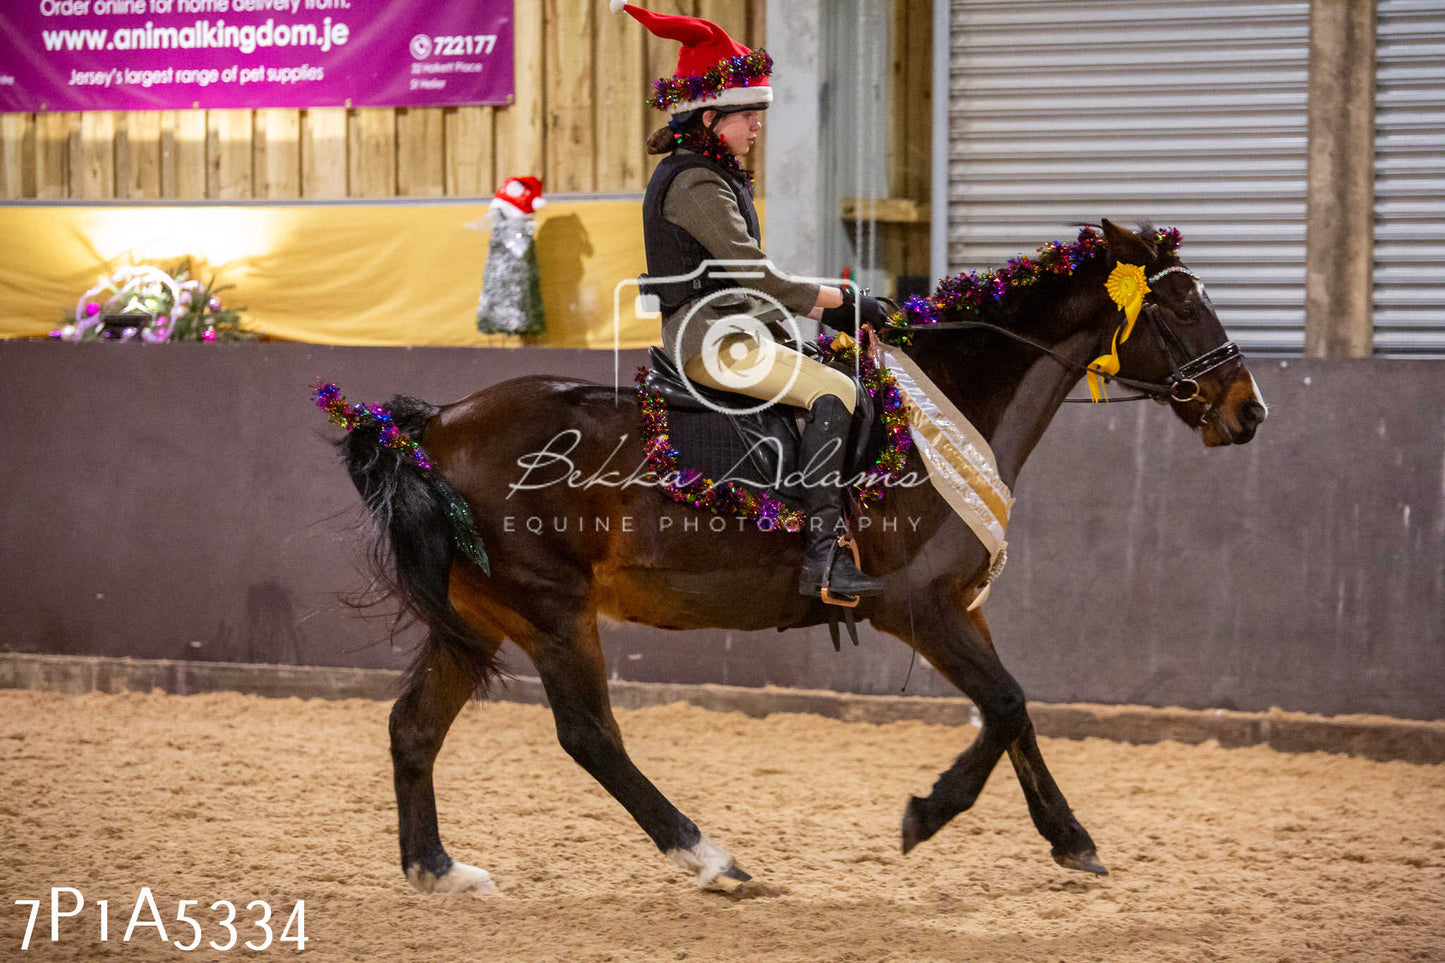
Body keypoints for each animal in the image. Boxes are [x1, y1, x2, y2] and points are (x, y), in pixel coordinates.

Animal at [325, 216, 1265, 890]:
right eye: (1182, 309)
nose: (1248, 410)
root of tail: (434, 427)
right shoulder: (913, 607)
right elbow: (1002, 704)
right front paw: (925, 814)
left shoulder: (960, 606)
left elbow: (1018, 711)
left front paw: (1071, 839)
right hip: (551, 611)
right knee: (590, 736)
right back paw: (708, 856)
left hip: (477, 619)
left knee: (413, 726)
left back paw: (437, 869)